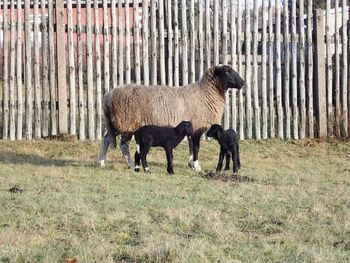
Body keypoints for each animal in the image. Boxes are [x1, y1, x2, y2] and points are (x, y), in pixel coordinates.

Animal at [99, 64, 246, 171]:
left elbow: (191, 147)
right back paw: (130, 164)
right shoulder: (197, 128)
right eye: (226, 72)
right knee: (123, 144)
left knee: (106, 139)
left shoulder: (191, 129)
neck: (205, 94)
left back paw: (101, 162)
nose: (243, 82)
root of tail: (108, 96)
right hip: (128, 123)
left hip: (115, 123)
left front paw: (191, 164)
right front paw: (197, 166)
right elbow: (196, 148)